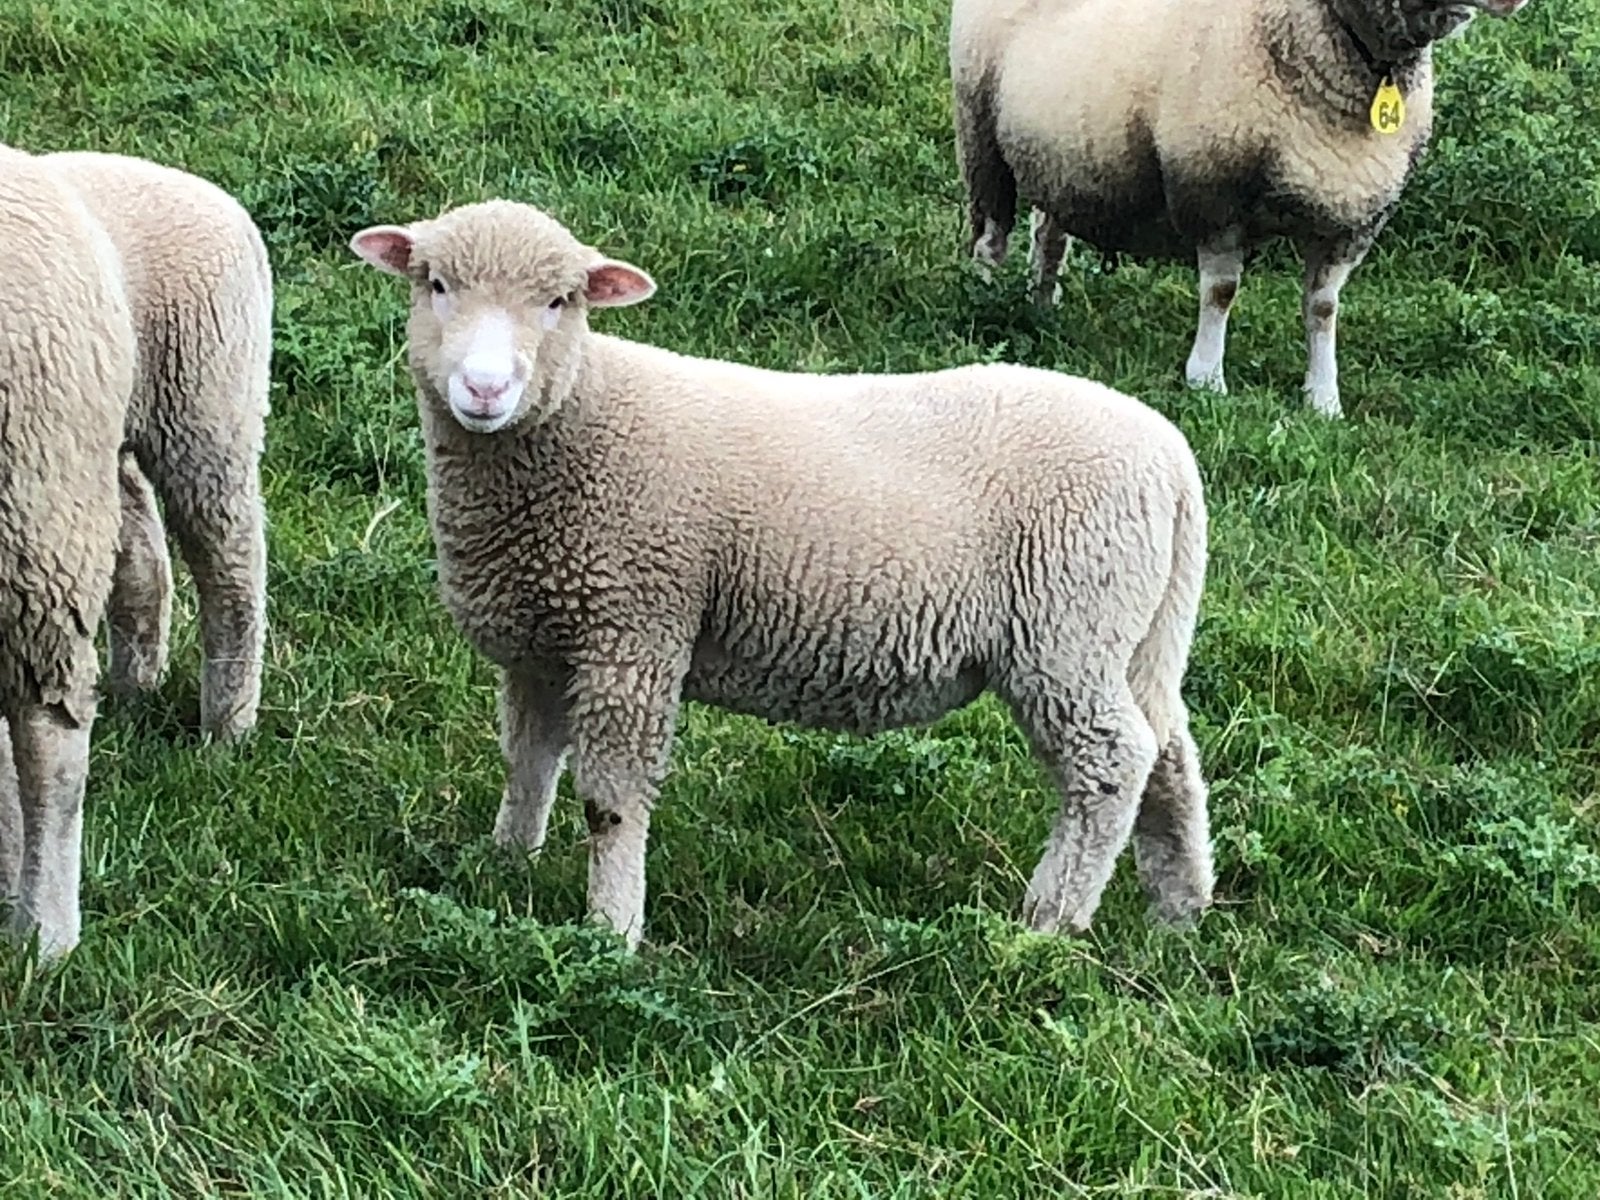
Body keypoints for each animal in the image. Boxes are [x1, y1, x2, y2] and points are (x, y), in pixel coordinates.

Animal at [42, 149, 273, 739]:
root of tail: (237, 217)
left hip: (203, 405)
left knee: (230, 561)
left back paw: (227, 725)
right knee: (143, 558)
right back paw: (132, 690)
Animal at [350, 198, 1215, 949]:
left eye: (561, 301)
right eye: (435, 284)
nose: (485, 388)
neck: (583, 417)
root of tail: (1173, 461)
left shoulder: (635, 631)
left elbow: (612, 799)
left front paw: (612, 929)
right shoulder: (544, 642)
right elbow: (528, 764)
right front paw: (505, 865)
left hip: (1066, 629)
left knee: (1111, 764)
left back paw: (1049, 921)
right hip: (1134, 636)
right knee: (1170, 756)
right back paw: (1179, 910)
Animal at [951, 0, 1535, 417]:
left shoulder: (1352, 216)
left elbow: (1323, 309)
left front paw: (1323, 400)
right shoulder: (1214, 192)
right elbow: (1222, 293)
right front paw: (1207, 379)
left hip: (1062, 157)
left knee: (1049, 235)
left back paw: (1041, 308)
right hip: (980, 133)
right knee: (990, 238)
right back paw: (985, 305)